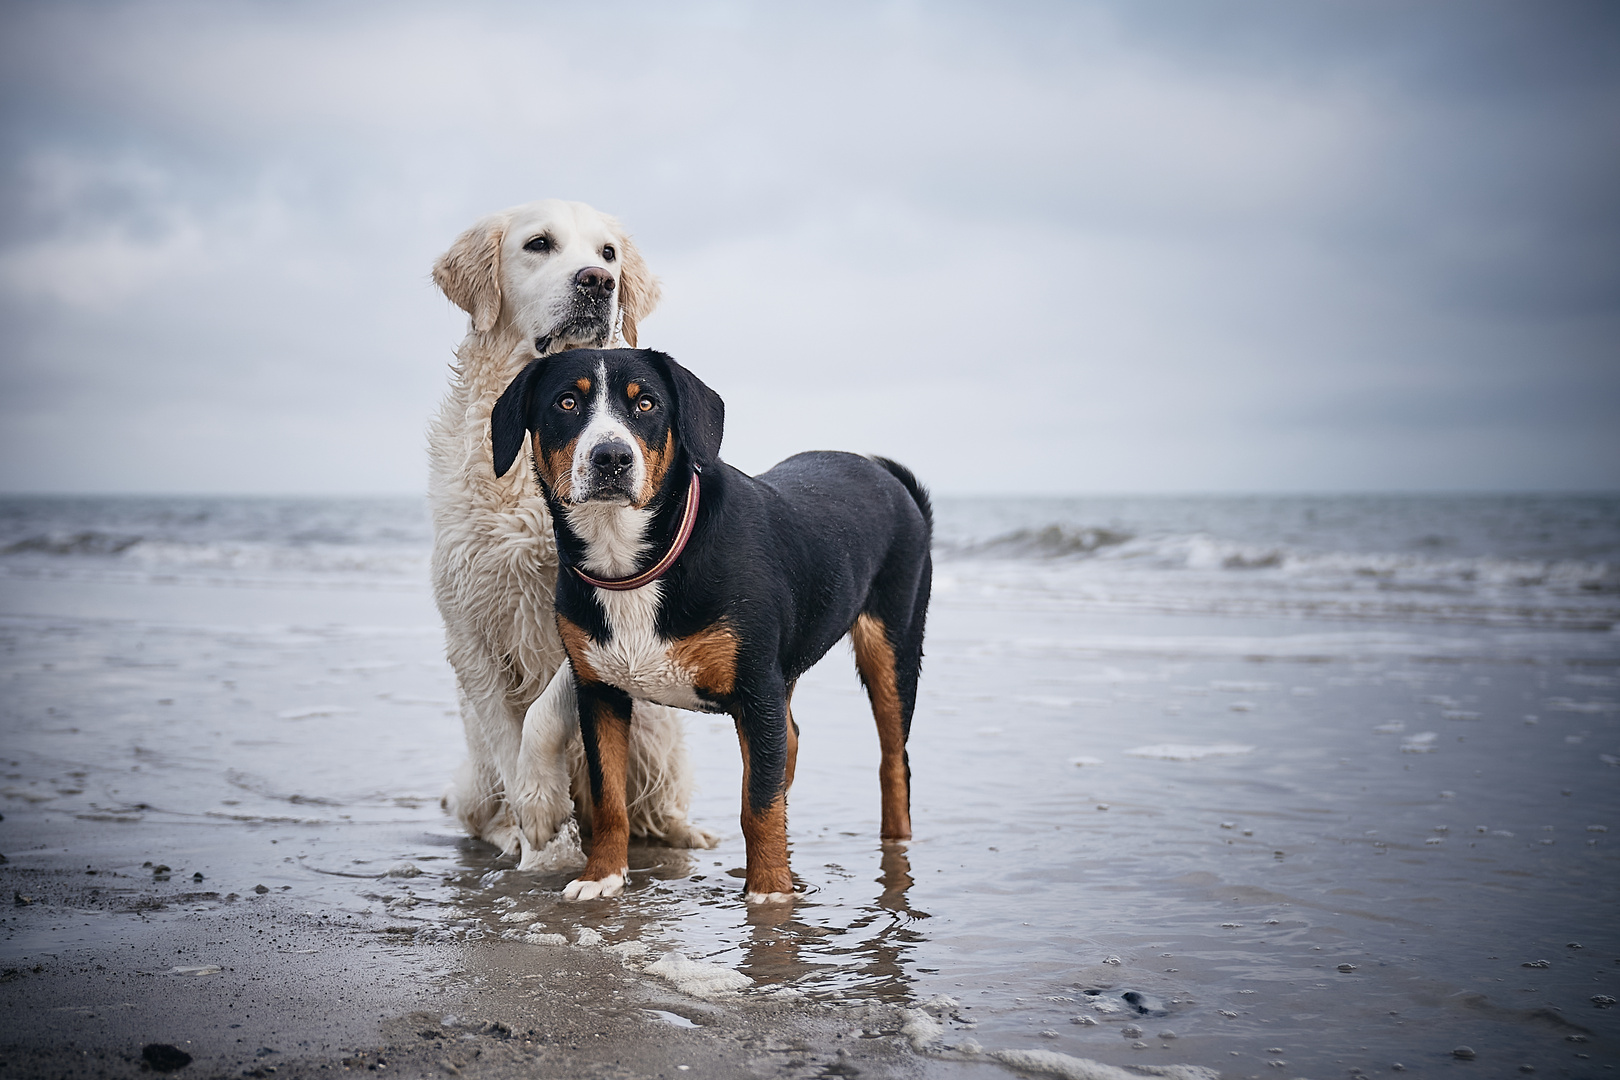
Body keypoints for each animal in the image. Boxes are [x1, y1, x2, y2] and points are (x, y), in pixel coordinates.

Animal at [430, 198, 716, 867]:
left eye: (608, 253)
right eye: (539, 244)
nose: (598, 281)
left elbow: (543, 713)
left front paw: (543, 804)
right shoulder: (469, 627)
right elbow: (507, 735)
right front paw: (537, 821)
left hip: (660, 733)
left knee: (654, 803)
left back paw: (683, 836)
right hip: (472, 774)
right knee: (479, 809)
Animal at [486, 348, 933, 906]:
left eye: (646, 403)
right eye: (566, 402)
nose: (612, 457)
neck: (633, 566)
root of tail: (887, 476)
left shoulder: (756, 691)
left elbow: (758, 803)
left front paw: (770, 891)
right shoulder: (600, 693)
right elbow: (610, 798)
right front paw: (602, 876)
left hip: (892, 648)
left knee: (893, 760)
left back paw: (893, 846)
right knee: (793, 743)